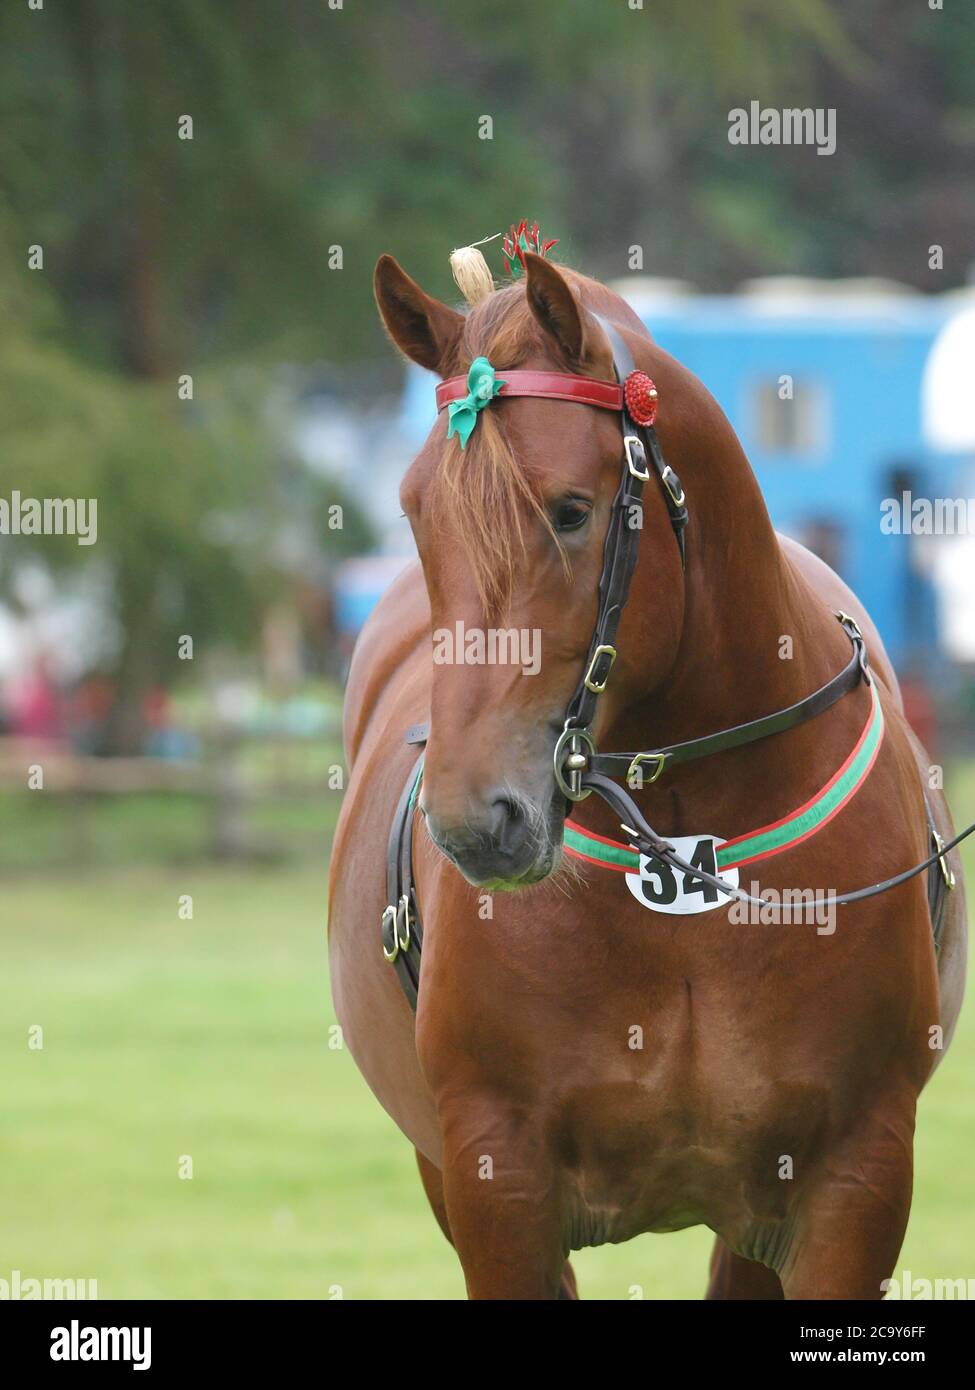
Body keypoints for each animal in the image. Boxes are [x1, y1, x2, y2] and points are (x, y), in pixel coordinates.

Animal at [322, 250, 962, 1301]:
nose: (476, 821)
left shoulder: (851, 1182)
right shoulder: (494, 1182)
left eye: (571, 511)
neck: (687, 852)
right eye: (417, 511)